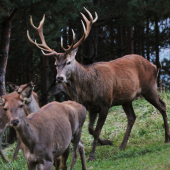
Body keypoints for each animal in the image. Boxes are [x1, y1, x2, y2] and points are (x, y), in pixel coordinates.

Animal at [26, 6, 170, 161]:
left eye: (68, 62)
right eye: (55, 64)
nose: (59, 78)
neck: (88, 90)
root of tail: (154, 65)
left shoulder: (105, 103)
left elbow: (96, 130)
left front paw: (92, 155)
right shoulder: (91, 107)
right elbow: (91, 129)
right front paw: (107, 142)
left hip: (149, 87)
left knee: (162, 106)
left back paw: (166, 138)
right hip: (126, 98)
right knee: (132, 117)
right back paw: (123, 145)